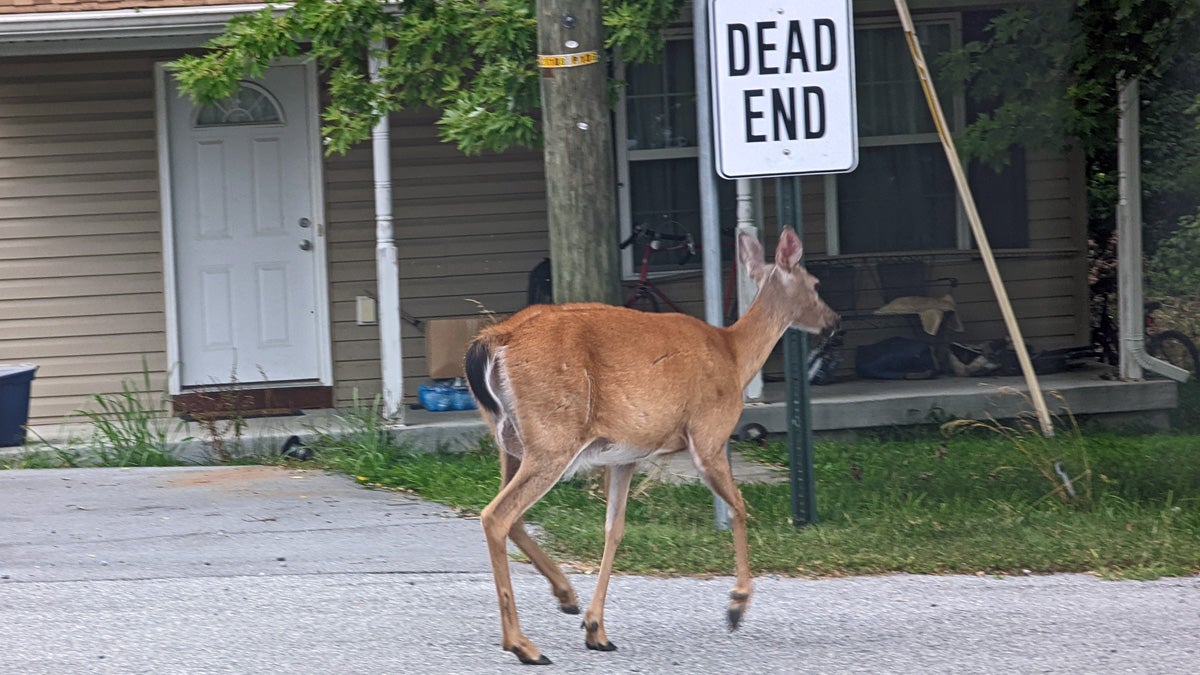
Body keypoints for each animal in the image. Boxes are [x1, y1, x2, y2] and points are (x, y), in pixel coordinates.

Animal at [463, 225, 840, 662]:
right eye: (815, 284)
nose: (834, 321)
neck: (733, 355)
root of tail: (493, 339)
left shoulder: (625, 454)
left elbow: (614, 528)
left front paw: (596, 628)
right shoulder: (709, 433)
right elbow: (739, 509)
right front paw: (736, 605)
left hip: (509, 441)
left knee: (513, 516)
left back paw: (565, 597)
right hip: (552, 438)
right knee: (497, 515)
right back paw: (523, 644)